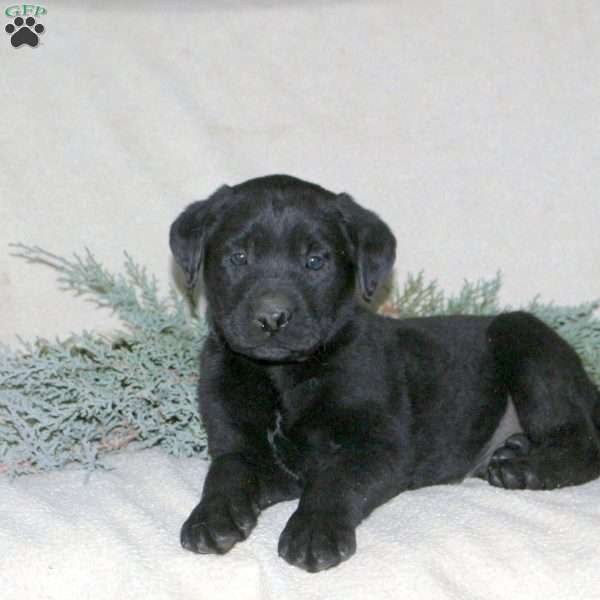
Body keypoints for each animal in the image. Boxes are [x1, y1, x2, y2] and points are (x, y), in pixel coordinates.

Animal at [170, 173, 600, 572]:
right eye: (238, 257)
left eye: (315, 261)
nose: (271, 317)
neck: (283, 377)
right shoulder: (239, 446)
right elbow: (226, 473)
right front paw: (210, 517)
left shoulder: (379, 446)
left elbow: (335, 481)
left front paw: (314, 532)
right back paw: (516, 449)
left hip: (520, 334)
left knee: (585, 443)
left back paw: (525, 469)